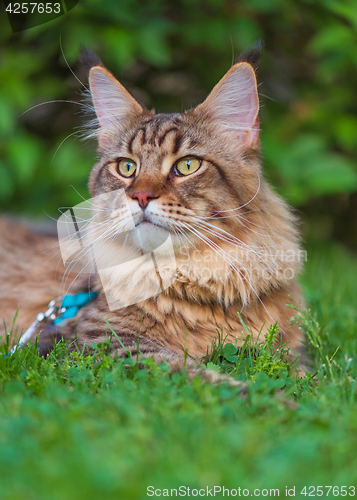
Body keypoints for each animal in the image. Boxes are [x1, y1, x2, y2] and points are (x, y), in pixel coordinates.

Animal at [0, 44, 306, 376]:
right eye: (126, 167)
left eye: (188, 165)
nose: (141, 196)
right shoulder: (100, 345)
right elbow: (192, 374)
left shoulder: (292, 354)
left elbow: (303, 376)